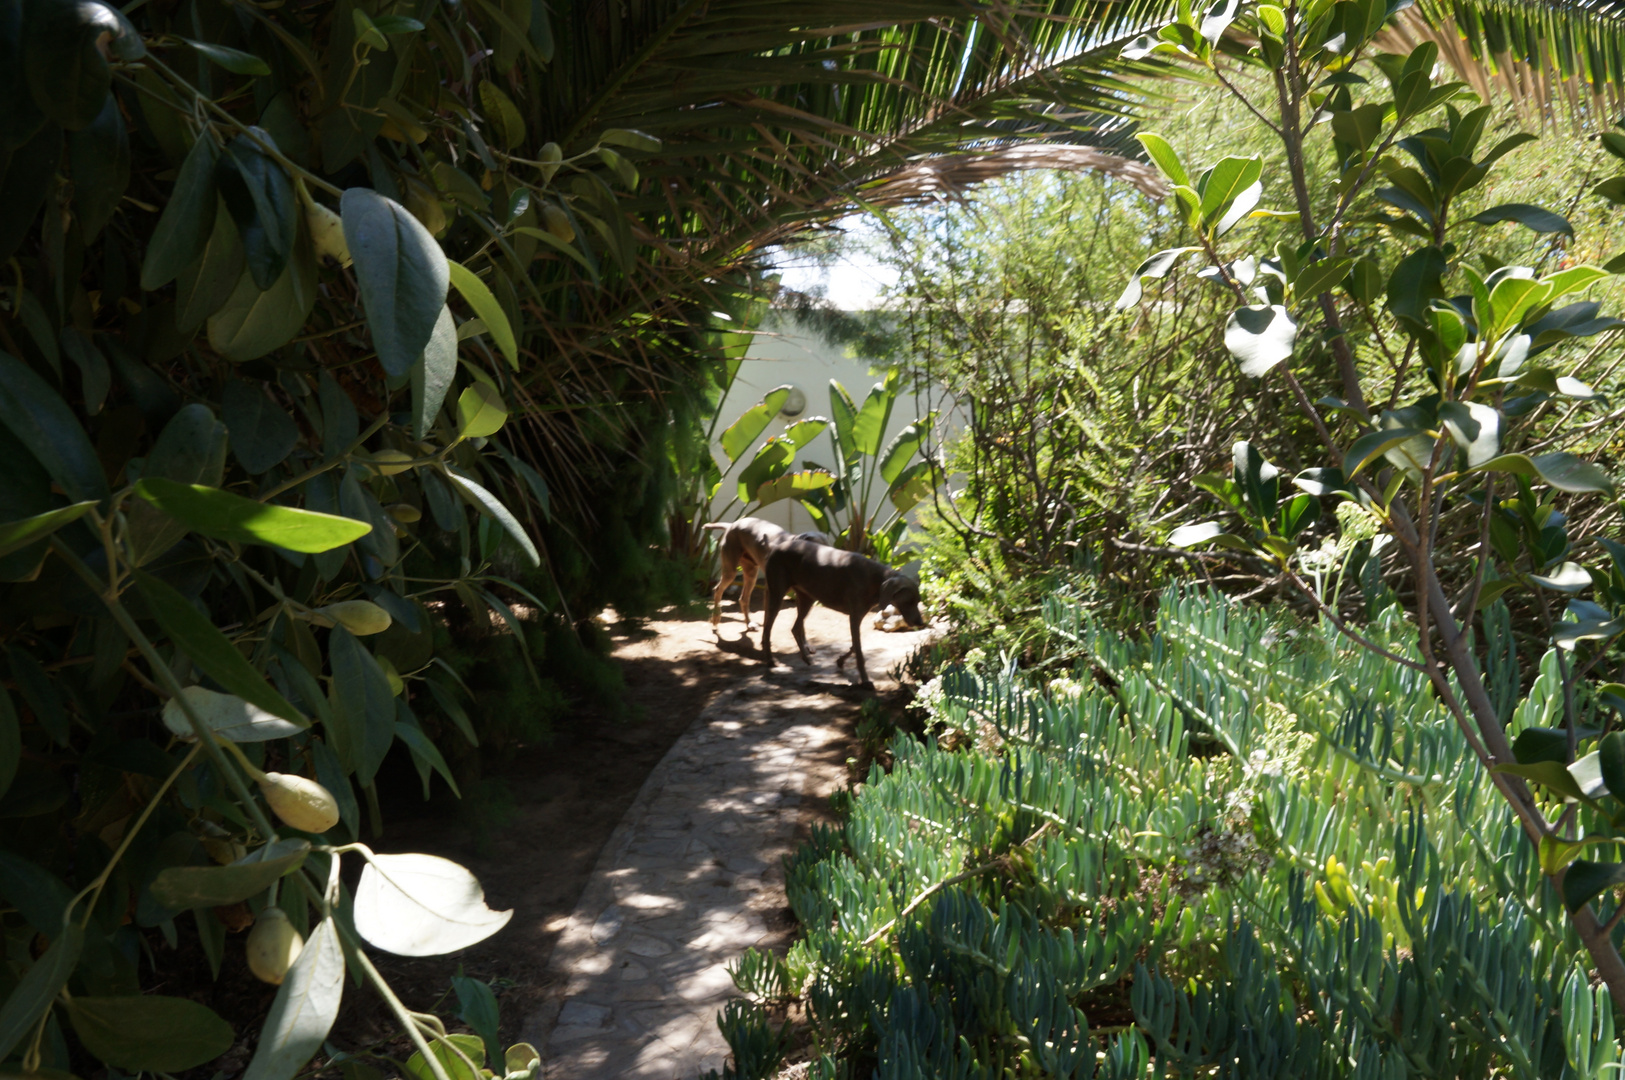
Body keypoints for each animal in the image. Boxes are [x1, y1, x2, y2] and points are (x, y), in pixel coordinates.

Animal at [763, 535, 929, 685]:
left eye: (918, 601)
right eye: (909, 601)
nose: (920, 622)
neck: (877, 579)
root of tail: (776, 547)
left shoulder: (856, 616)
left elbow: (855, 646)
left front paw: (840, 661)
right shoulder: (854, 617)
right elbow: (859, 651)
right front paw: (865, 679)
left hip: (806, 597)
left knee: (795, 627)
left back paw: (806, 657)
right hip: (777, 594)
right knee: (768, 628)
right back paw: (770, 660)